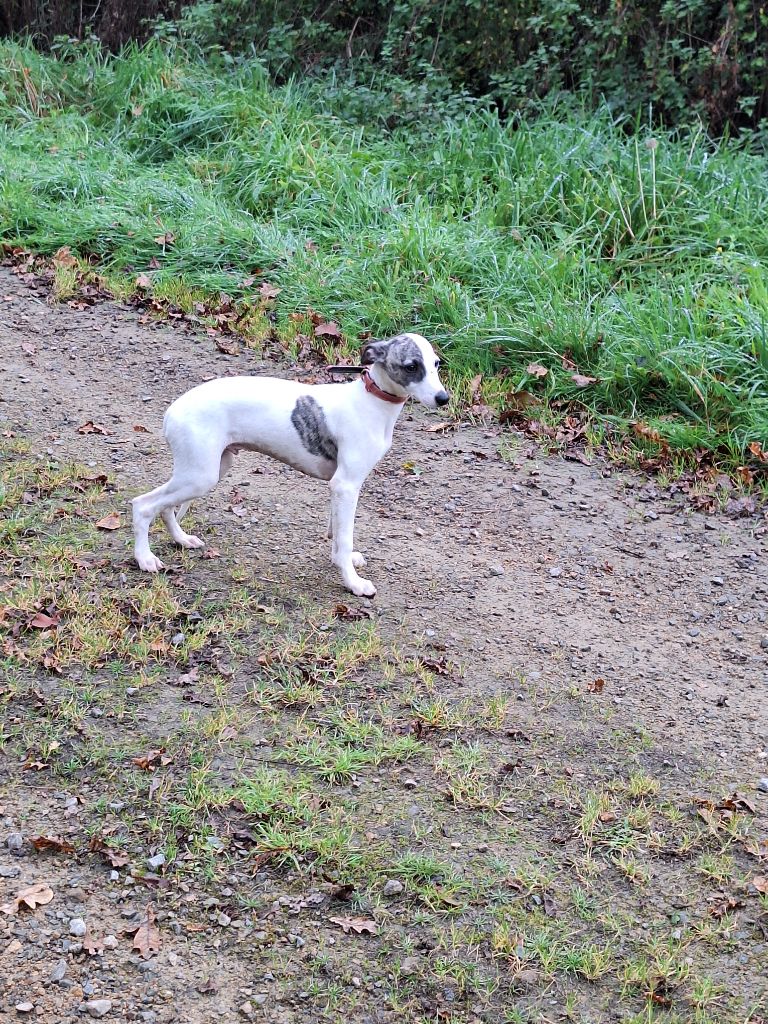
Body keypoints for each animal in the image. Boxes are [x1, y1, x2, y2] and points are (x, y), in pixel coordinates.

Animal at [129, 331, 448, 598]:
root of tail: (173, 410)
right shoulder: (346, 485)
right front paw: (353, 583)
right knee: (143, 505)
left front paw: (341, 560)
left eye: (436, 364)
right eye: (411, 366)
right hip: (200, 476)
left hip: (209, 469)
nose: (443, 398)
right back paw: (145, 559)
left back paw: (182, 540)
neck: (371, 402)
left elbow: (336, 533)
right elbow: (344, 537)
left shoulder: (339, 487)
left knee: (165, 507)